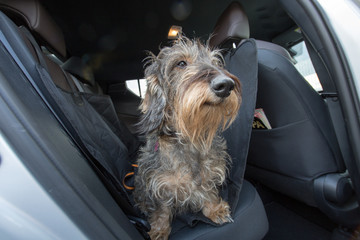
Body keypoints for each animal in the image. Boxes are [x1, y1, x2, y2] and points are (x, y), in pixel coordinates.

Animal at [133, 36, 242, 240]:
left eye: (215, 63)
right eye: (181, 63)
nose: (225, 85)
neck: (190, 137)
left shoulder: (208, 174)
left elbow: (207, 190)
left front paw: (215, 209)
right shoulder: (157, 185)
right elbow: (161, 210)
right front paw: (159, 229)